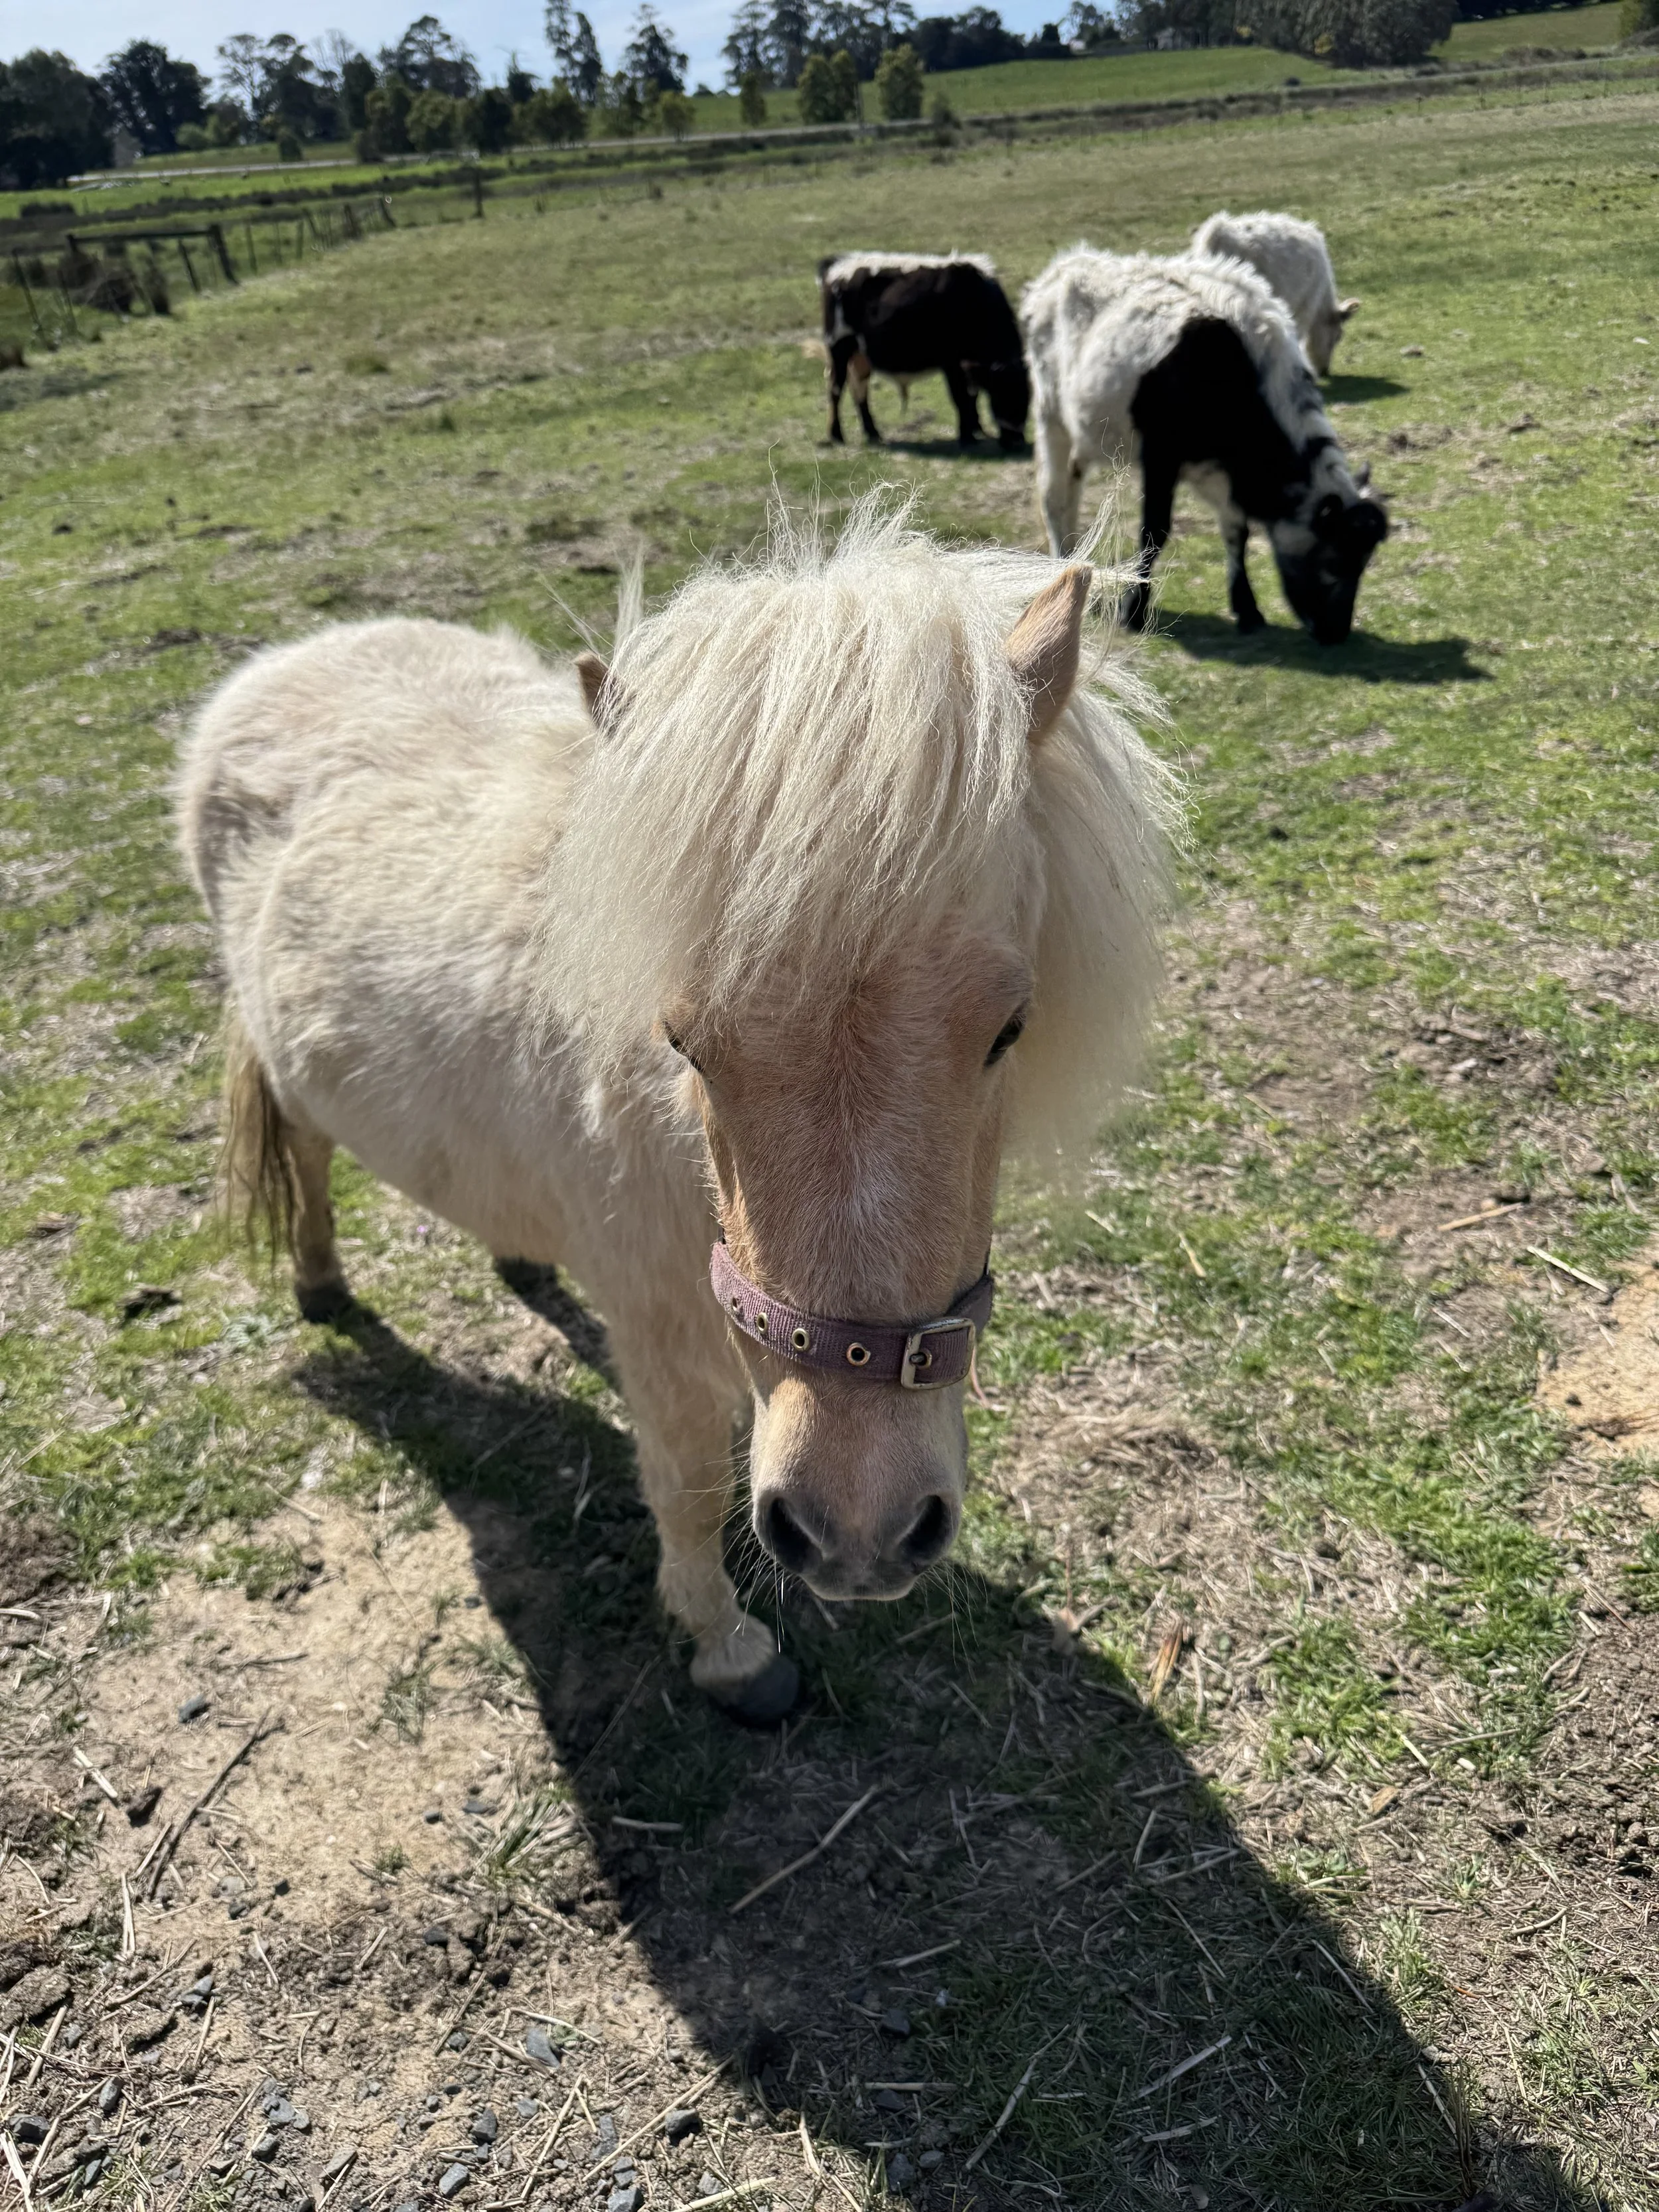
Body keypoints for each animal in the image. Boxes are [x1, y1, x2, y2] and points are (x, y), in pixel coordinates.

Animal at [177, 500, 1175, 1722]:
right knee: (309, 1152)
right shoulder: (654, 1318)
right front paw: (725, 1643)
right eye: (688, 1044)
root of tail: (289, 659)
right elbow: (692, 1478)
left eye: (1008, 1030)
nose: (861, 1535)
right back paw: (320, 1280)